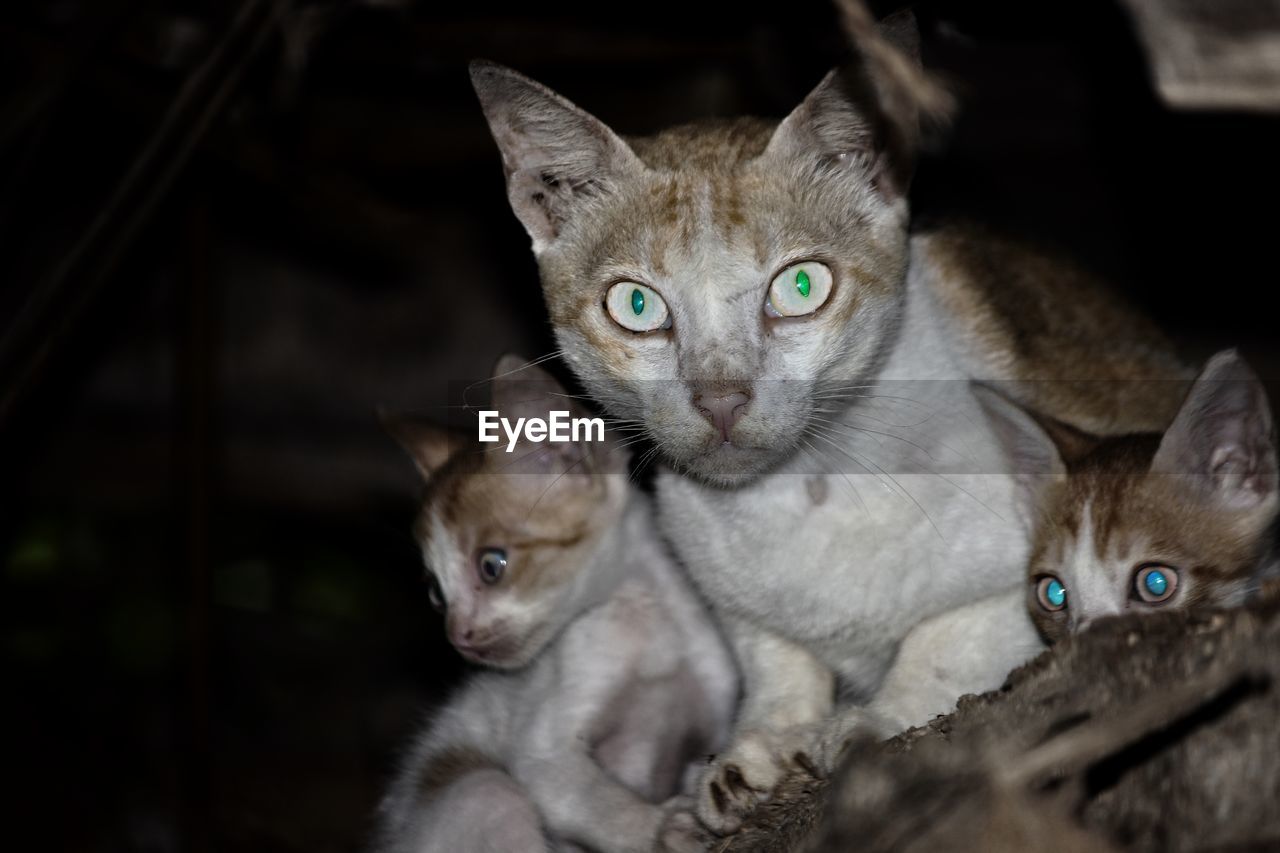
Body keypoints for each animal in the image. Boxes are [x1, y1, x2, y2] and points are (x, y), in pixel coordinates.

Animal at [371, 356, 737, 850]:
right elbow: (600, 802)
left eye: (491, 565)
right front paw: (660, 826)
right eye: (434, 592)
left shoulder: (712, 721)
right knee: (494, 791)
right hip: (483, 792)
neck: (646, 627)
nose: (458, 636)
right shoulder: (545, 756)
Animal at [468, 24, 1187, 829]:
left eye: (801, 285)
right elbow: (774, 657)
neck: (804, 488)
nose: (720, 397)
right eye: (636, 304)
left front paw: (872, 721)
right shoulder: (728, 590)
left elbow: (948, 637)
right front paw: (758, 745)